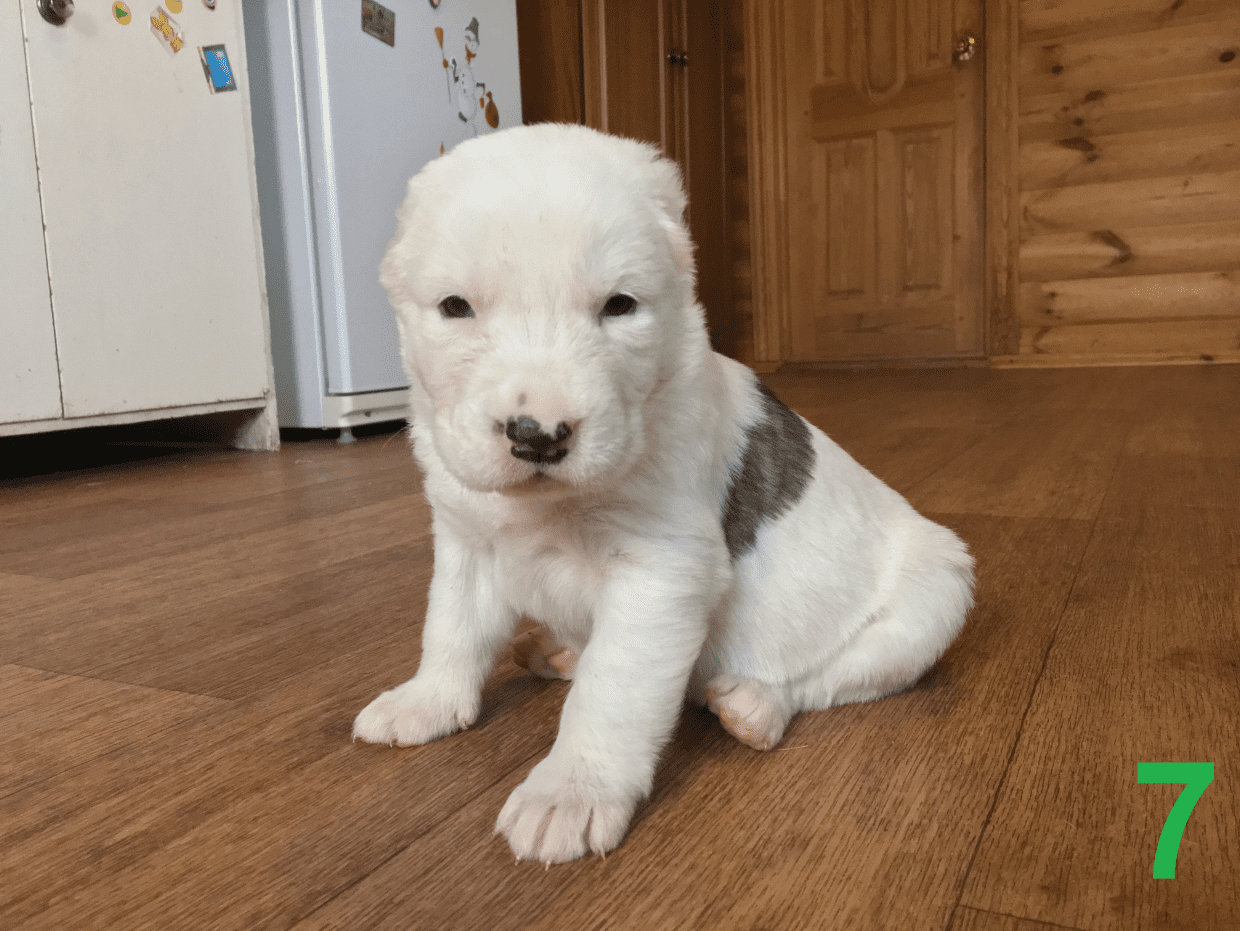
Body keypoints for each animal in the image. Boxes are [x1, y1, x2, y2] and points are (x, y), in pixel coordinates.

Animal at [354, 123, 972, 867]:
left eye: (620, 305)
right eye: (455, 307)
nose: (539, 436)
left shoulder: (660, 571)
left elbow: (612, 685)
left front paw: (571, 790)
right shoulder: (467, 540)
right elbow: (451, 626)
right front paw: (427, 699)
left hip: (935, 591)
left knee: (835, 674)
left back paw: (754, 704)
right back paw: (557, 650)